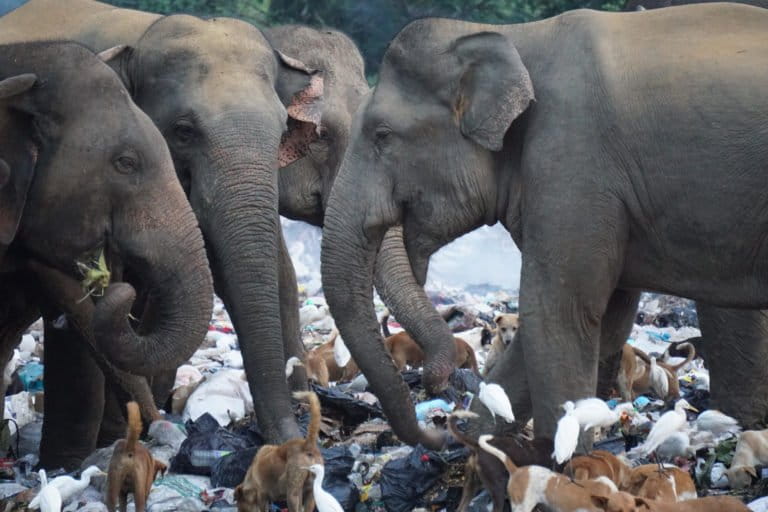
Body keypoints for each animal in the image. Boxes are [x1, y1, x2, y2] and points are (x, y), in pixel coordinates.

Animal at [321, 4, 768, 446]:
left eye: (382, 135)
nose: (436, 425)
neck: (517, 37)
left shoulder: (573, 164)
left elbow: (557, 314)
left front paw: (561, 463)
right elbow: (604, 318)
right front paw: (481, 448)